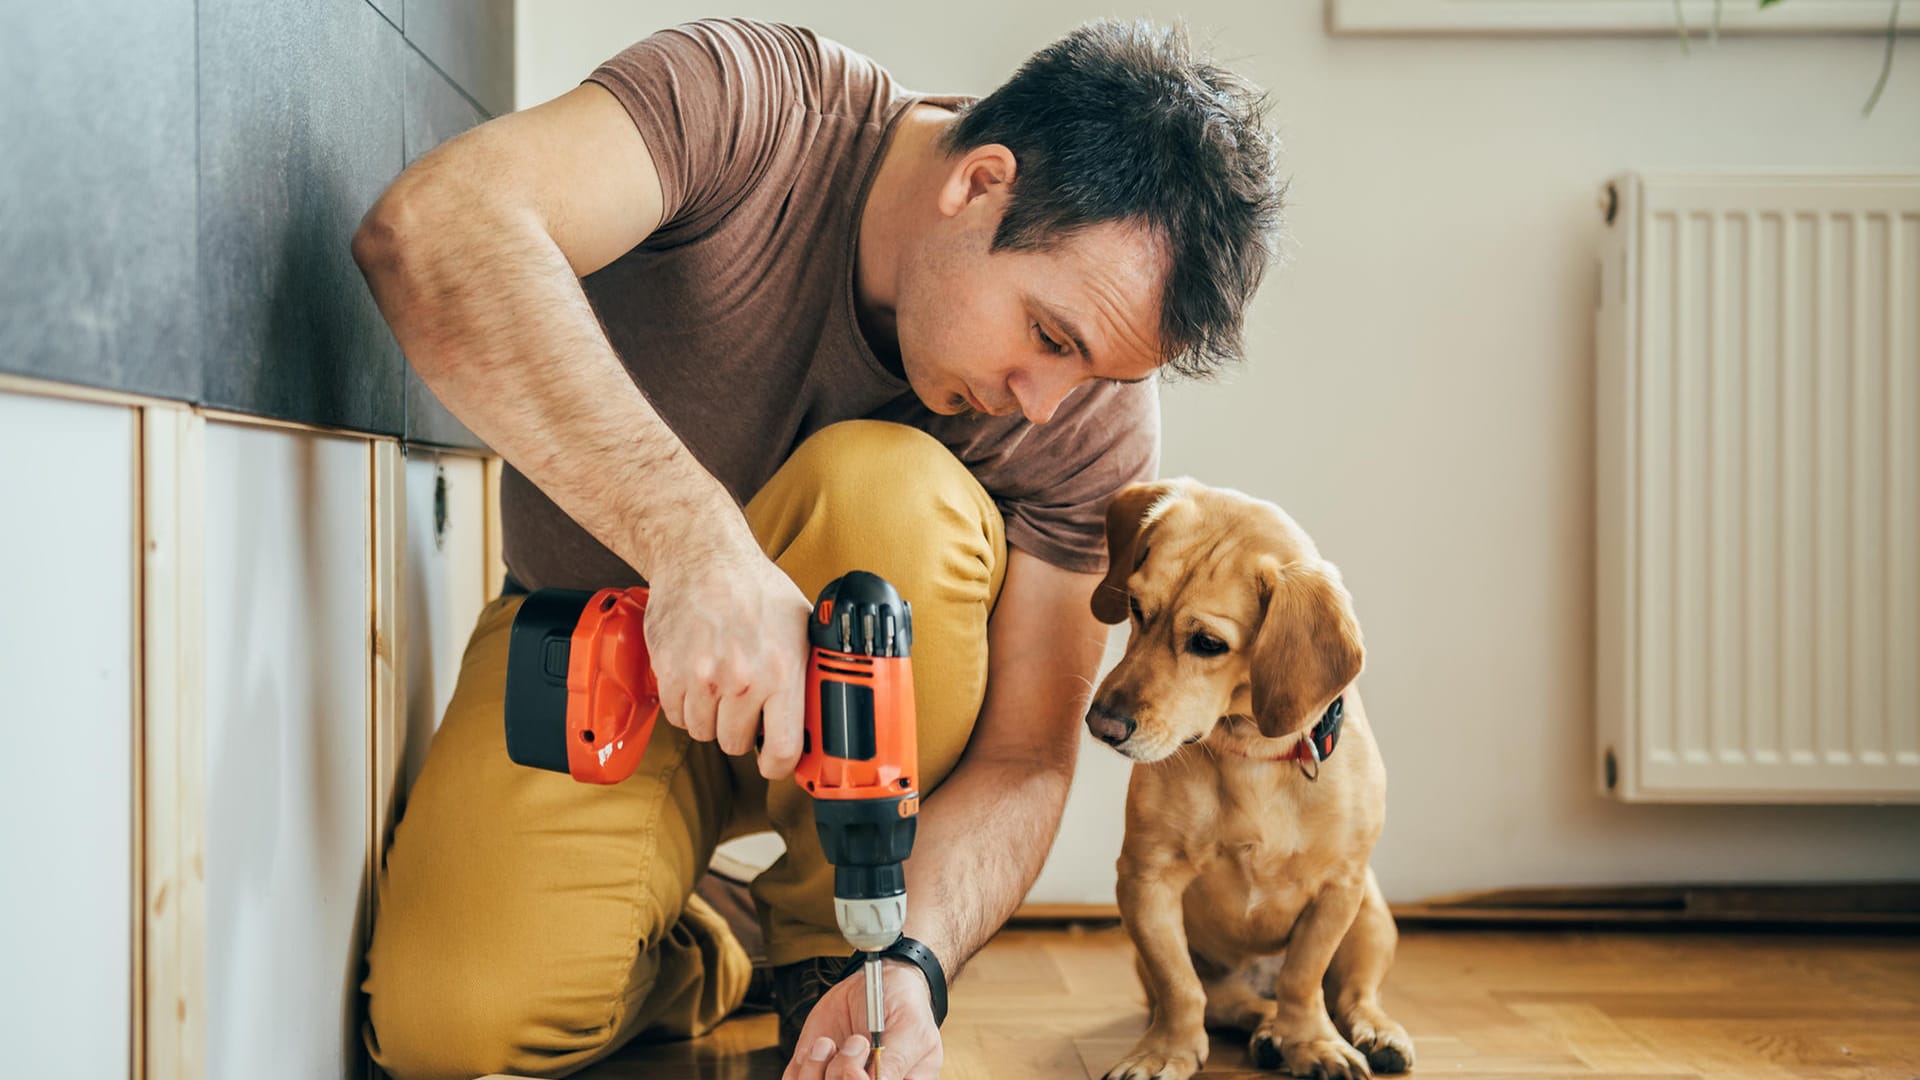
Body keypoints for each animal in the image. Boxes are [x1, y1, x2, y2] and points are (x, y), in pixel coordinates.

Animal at [1090, 478, 1420, 1076]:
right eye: (1135, 606)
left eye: (1208, 643)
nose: (1101, 723)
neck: (1250, 755)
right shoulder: (1145, 881)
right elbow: (1181, 989)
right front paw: (1165, 1051)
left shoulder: (1338, 889)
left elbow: (1303, 979)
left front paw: (1312, 1041)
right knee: (1233, 1002)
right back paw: (1267, 1030)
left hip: (1372, 916)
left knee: (1353, 994)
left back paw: (1373, 1033)